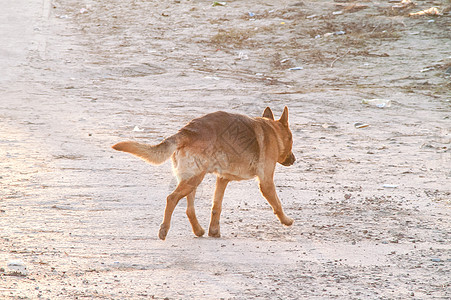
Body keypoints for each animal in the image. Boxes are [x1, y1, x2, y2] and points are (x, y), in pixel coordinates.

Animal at [112, 106, 296, 240]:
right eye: (292, 140)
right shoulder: (266, 182)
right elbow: (277, 204)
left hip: (190, 180)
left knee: (189, 209)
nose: (294, 159)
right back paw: (164, 230)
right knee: (171, 198)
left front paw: (214, 231)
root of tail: (185, 132)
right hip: (194, 179)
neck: (273, 131)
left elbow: (216, 206)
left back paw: (199, 230)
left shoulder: (222, 179)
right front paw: (286, 221)